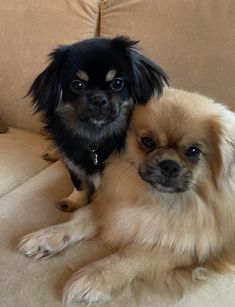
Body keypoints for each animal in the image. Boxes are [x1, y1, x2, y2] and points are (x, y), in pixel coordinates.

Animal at [18, 89, 235, 306]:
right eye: (148, 141)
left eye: (193, 151)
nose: (169, 165)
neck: (155, 198)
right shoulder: (111, 206)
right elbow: (77, 221)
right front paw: (46, 237)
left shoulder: (190, 246)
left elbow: (131, 254)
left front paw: (93, 278)